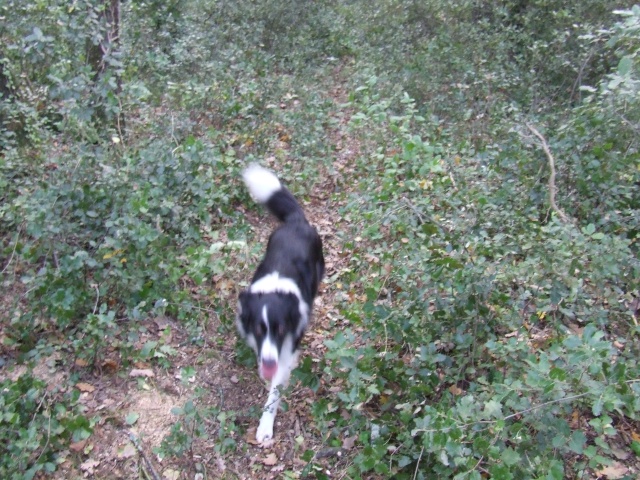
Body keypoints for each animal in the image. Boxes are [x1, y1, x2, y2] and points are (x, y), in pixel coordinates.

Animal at [236, 165, 324, 442]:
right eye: (257, 329)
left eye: (282, 329)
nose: (268, 363)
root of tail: (296, 221)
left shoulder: (286, 350)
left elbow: (274, 393)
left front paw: (265, 426)